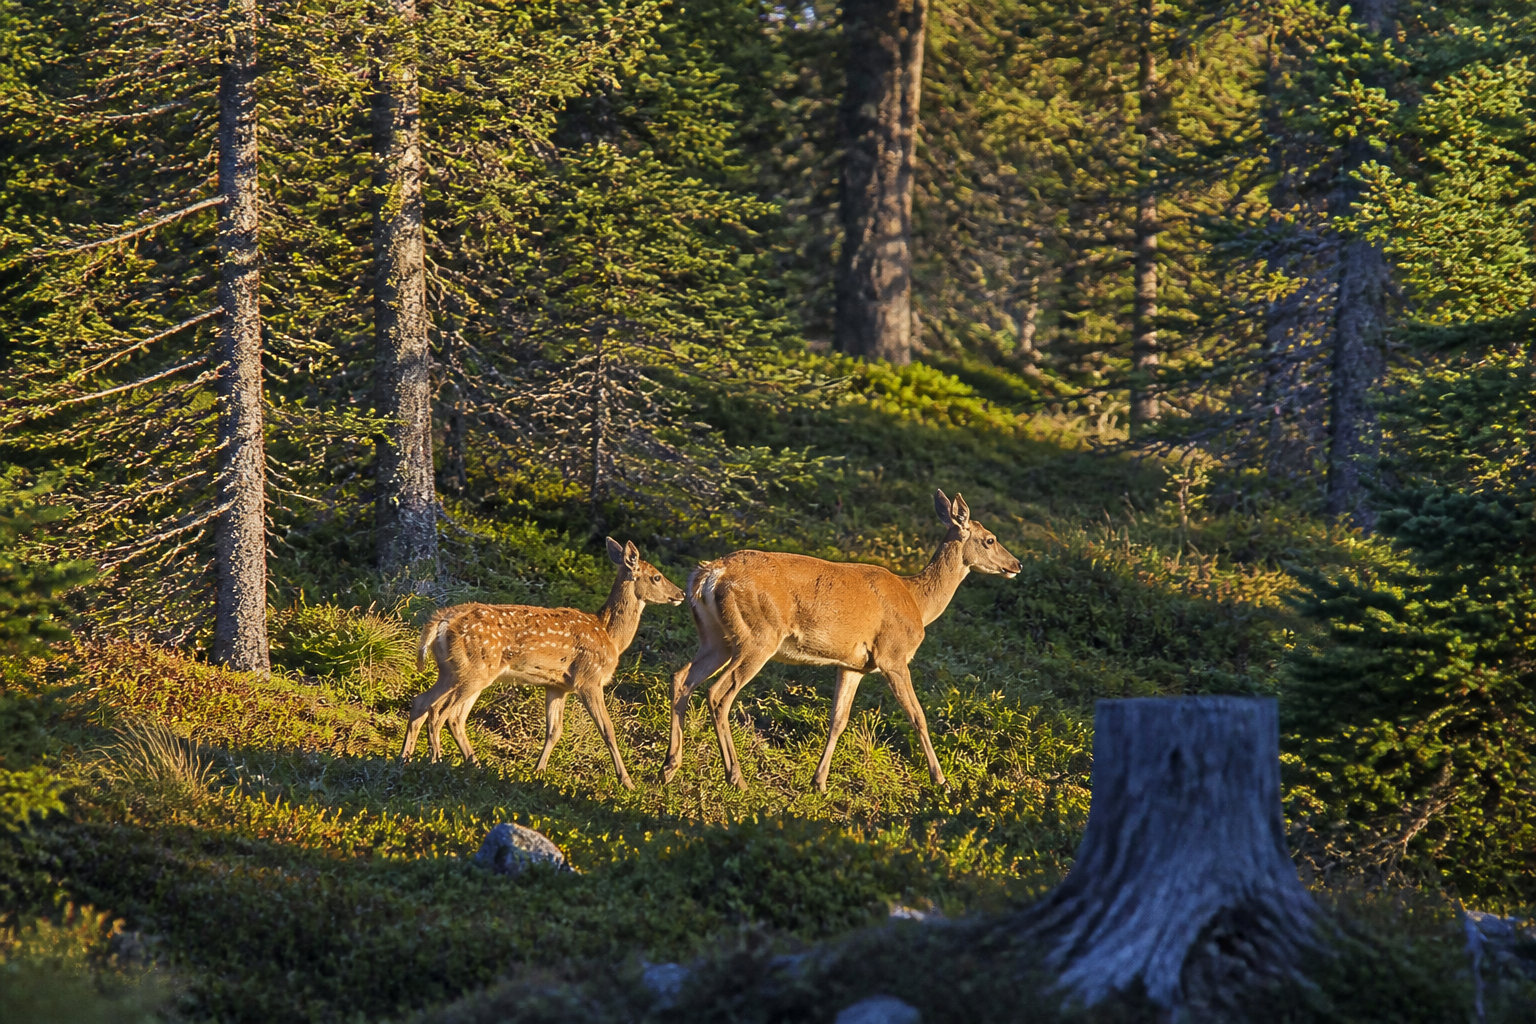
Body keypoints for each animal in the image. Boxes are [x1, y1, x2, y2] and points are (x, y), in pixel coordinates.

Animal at [400, 537, 684, 789]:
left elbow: (554, 730)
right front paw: (627, 782)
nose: (680, 593)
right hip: (472, 671)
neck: (610, 637)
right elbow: (607, 729)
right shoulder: (589, 679)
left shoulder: (557, 686)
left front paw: (538, 771)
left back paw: (414, 759)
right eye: (657, 576)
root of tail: (441, 621)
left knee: (429, 705)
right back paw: (437, 761)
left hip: (454, 671)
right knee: (442, 712)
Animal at [663, 489, 1022, 792]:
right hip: (758, 636)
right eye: (990, 539)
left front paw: (819, 782)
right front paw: (941, 780)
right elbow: (917, 716)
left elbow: (838, 719)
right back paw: (736, 778)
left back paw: (670, 766)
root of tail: (710, 574)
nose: (1016, 564)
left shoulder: (852, 665)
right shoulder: (893, 655)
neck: (918, 602)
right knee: (718, 694)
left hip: (716, 637)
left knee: (682, 678)